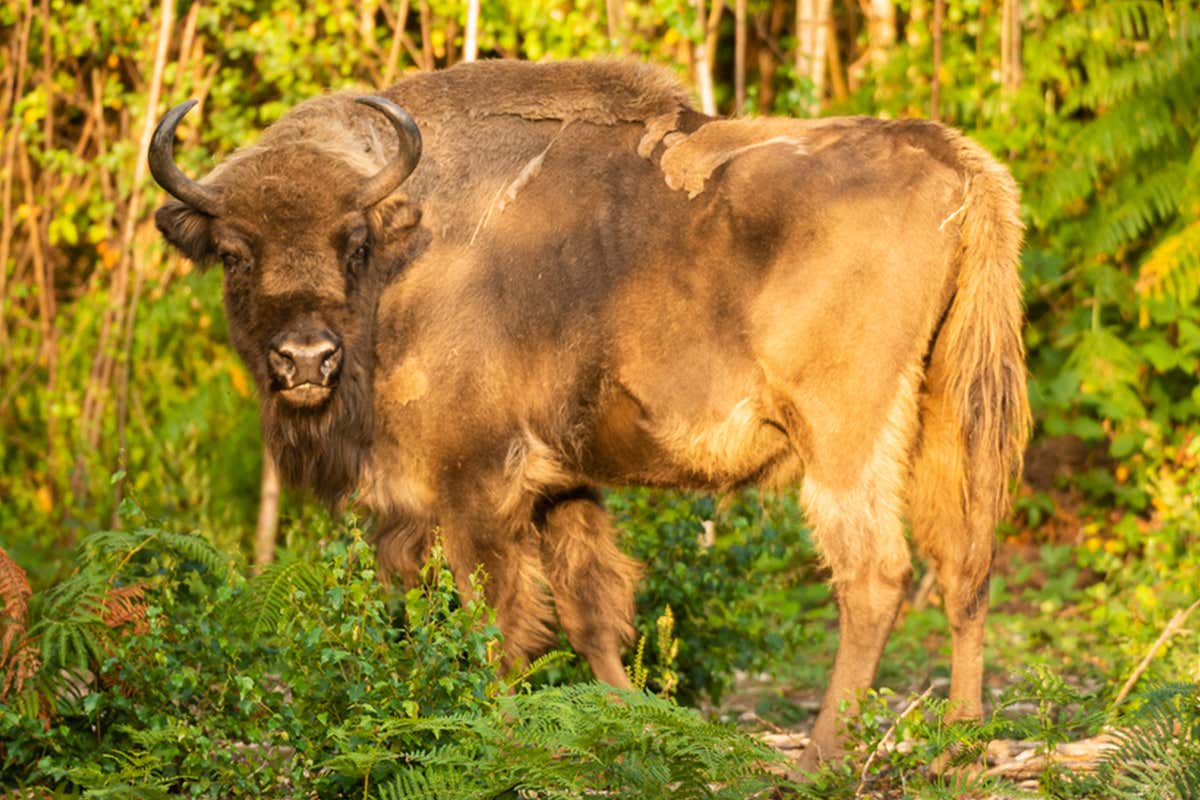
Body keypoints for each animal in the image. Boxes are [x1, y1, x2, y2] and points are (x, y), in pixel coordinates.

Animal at [150, 59, 1028, 768]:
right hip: (947, 412)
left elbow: (496, 625)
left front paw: (500, 742)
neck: (409, 248)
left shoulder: (475, 486)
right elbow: (588, 611)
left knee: (875, 576)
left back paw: (816, 762)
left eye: (353, 242)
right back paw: (961, 749)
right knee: (965, 563)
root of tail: (953, 158)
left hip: (845, 437)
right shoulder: (560, 483)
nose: (304, 360)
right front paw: (631, 725)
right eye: (234, 252)